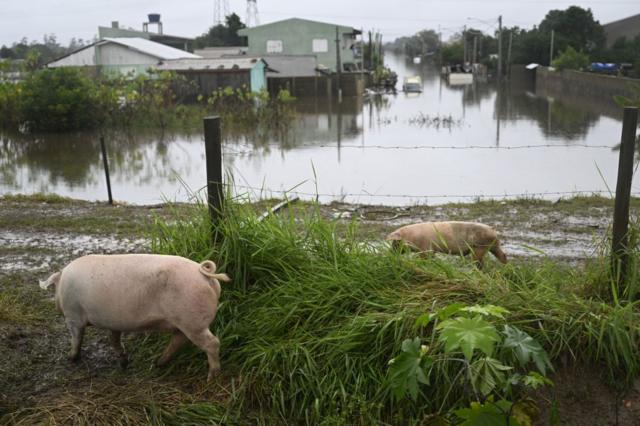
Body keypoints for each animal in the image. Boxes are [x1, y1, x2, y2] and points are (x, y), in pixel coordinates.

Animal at [39, 255, 230, 382]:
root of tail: (205, 275)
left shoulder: (73, 316)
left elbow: (76, 338)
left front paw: (71, 358)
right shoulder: (114, 323)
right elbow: (114, 340)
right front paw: (124, 363)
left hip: (193, 321)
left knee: (213, 343)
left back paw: (212, 377)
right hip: (184, 322)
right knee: (178, 340)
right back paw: (158, 363)